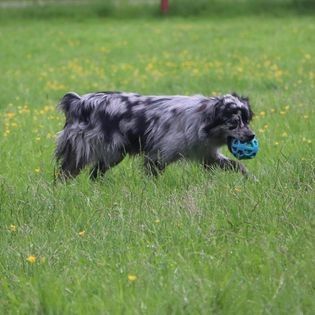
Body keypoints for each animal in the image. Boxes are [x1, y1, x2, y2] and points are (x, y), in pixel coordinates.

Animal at [55, 91, 256, 180]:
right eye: (234, 122)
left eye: (246, 120)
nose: (251, 136)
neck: (200, 119)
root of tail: (79, 101)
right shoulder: (158, 155)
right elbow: (152, 176)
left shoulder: (208, 155)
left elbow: (236, 165)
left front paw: (249, 178)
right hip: (95, 151)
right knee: (65, 173)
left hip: (113, 154)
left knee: (94, 174)